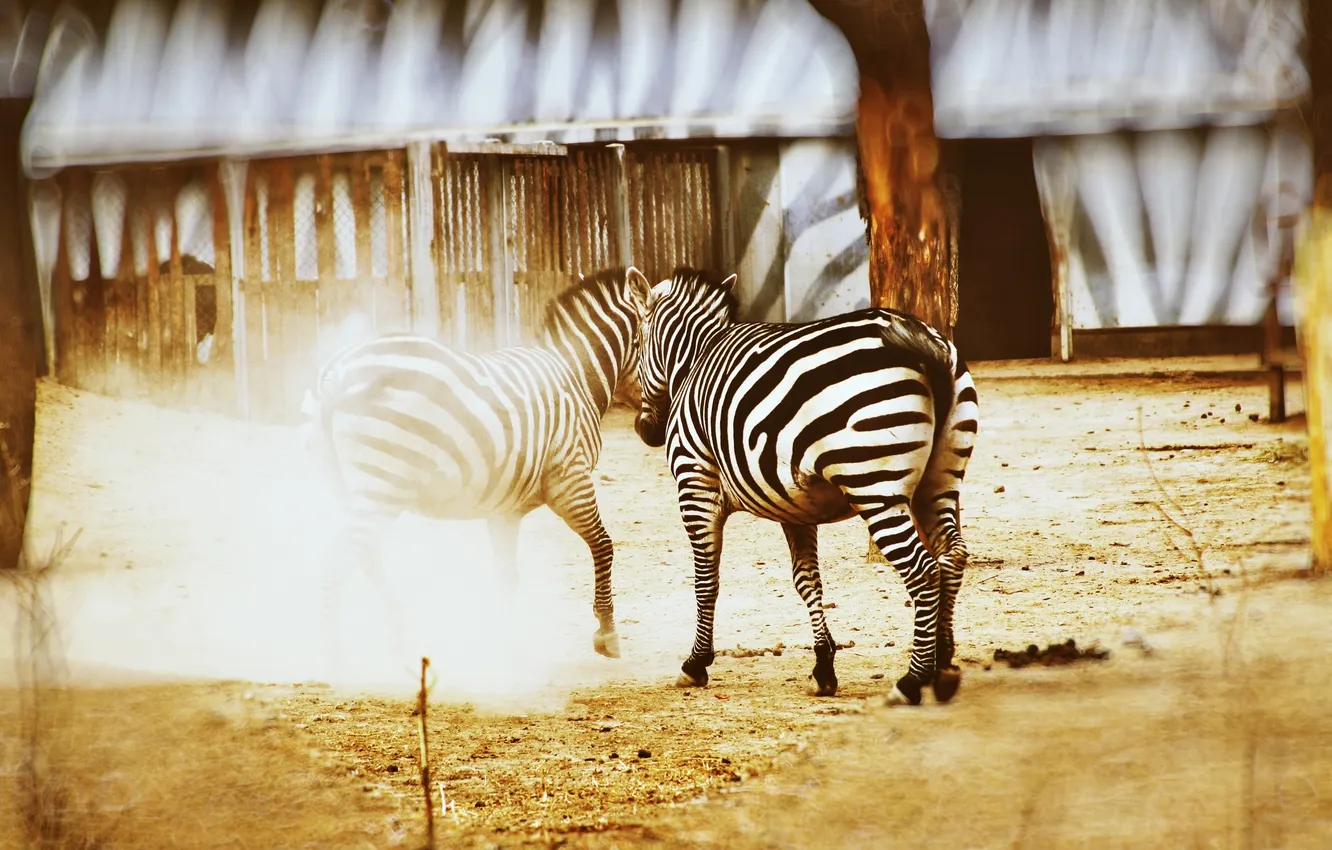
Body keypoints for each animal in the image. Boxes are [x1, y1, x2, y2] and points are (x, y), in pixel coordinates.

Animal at [302, 266, 653, 673]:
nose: (650, 430)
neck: (576, 374)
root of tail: (338, 372)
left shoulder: (505, 509)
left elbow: (507, 575)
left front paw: (505, 645)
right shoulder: (571, 479)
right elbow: (603, 545)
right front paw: (607, 634)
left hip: (350, 485)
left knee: (358, 553)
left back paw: (383, 639)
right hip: (382, 483)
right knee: (344, 555)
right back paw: (343, 654)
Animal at [633, 267, 980, 706]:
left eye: (637, 342)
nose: (646, 431)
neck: (695, 357)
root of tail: (921, 337)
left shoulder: (695, 481)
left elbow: (706, 580)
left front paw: (696, 663)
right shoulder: (793, 505)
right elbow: (806, 580)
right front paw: (823, 666)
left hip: (875, 487)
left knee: (922, 571)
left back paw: (912, 680)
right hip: (939, 480)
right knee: (953, 556)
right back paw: (944, 664)